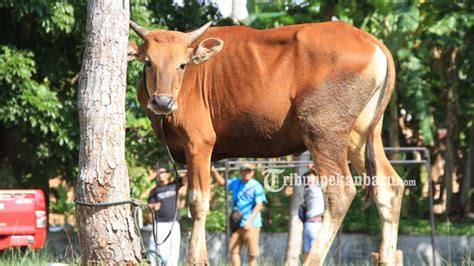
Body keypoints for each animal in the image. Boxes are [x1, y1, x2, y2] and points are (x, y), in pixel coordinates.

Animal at [129, 19, 404, 264]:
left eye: (182, 65)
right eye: (148, 62)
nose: (162, 101)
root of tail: (371, 41)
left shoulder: (199, 143)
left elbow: (197, 202)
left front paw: (196, 260)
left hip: (324, 132)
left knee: (340, 191)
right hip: (362, 135)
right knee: (388, 186)